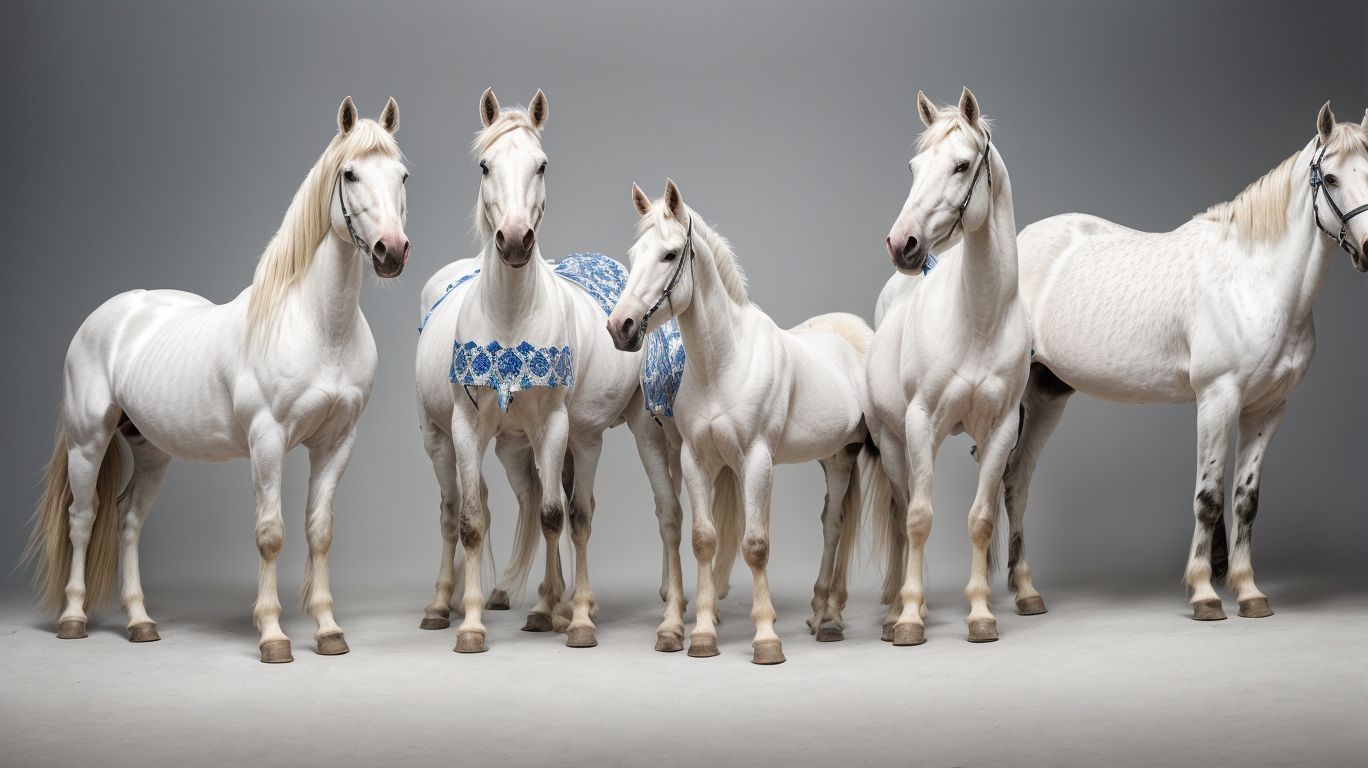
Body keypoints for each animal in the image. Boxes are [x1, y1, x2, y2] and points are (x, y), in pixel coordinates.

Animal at [23, 97, 409, 663]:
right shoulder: (267, 441)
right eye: (350, 173)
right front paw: (273, 635)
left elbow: (320, 533)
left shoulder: (336, 443)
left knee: (127, 520)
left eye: (402, 175)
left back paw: (140, 622)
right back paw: (73, 618)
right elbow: (271, 534)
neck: (319, 327)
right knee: (83, 517)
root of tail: (107, 315)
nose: (391, 251)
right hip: (87, 441)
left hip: (151, 451)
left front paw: (328, 630)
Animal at [415, 88, 685, 654]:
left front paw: (574, 618)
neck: (510, 317)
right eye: (485, 164)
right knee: (458, 511)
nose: (516, 240)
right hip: (448, 439)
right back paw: (447, 605)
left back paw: (563, 606)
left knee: (561, 507)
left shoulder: (557, 425)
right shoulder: (466, 428)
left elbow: (559, 515)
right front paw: (472, 625)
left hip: (593, 433)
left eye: (541, 164)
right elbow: (472, 523)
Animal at [607, 179, 876, 665]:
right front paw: (701, 634)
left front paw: (766, 638)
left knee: (834, 526)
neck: (723, 364)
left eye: (669, 255)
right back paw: (822, 614)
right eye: (635, 255)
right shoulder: (696, 461)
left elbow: (755, 545)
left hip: (848, 458)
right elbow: (703, 539)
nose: (621, 327)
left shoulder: (756, 460)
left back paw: (830, 619)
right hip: (832, 457)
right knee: (833, 522)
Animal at [867, 88, 1031, 646]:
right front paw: (910, 619)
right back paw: (898, 607)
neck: (978, 318)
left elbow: (980, 520)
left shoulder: (1000, 431)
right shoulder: (922, 425)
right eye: (914, 167)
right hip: (896, 444)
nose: (902, 244)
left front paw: (980, 613)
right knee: (902, 512)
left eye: (961, 165)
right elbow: (918, 518)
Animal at [1003, 102, 1368, 621]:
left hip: (1047, 393)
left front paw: (1249, 591)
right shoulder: (1217, 400)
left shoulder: (1267, 411)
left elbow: (1245, 502)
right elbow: (1208, 499)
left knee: (1016, 480)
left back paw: (1025, 592)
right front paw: (1204, 593)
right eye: (1332, 178)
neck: (1256, 280)